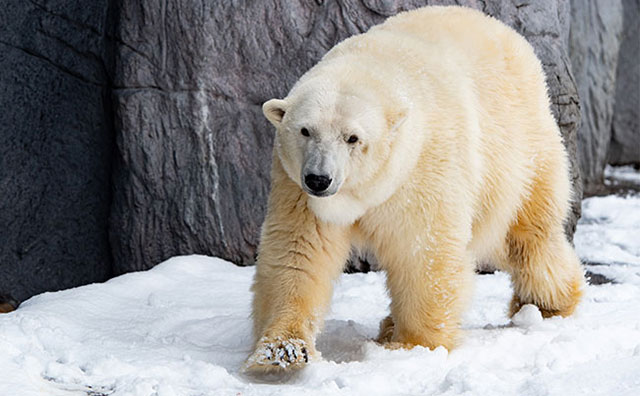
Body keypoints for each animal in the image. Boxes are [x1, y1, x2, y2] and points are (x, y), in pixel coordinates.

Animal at [245, 5, 584, 372]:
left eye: (353, 138)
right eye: (305, 130)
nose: (319, 179)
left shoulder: (423, 167)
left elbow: (423, 252)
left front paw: (412, 346)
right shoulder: (295, 187)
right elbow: (298, 251)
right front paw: (281, 351)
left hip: (519, 149)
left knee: (527, 235)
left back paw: (547, 302)